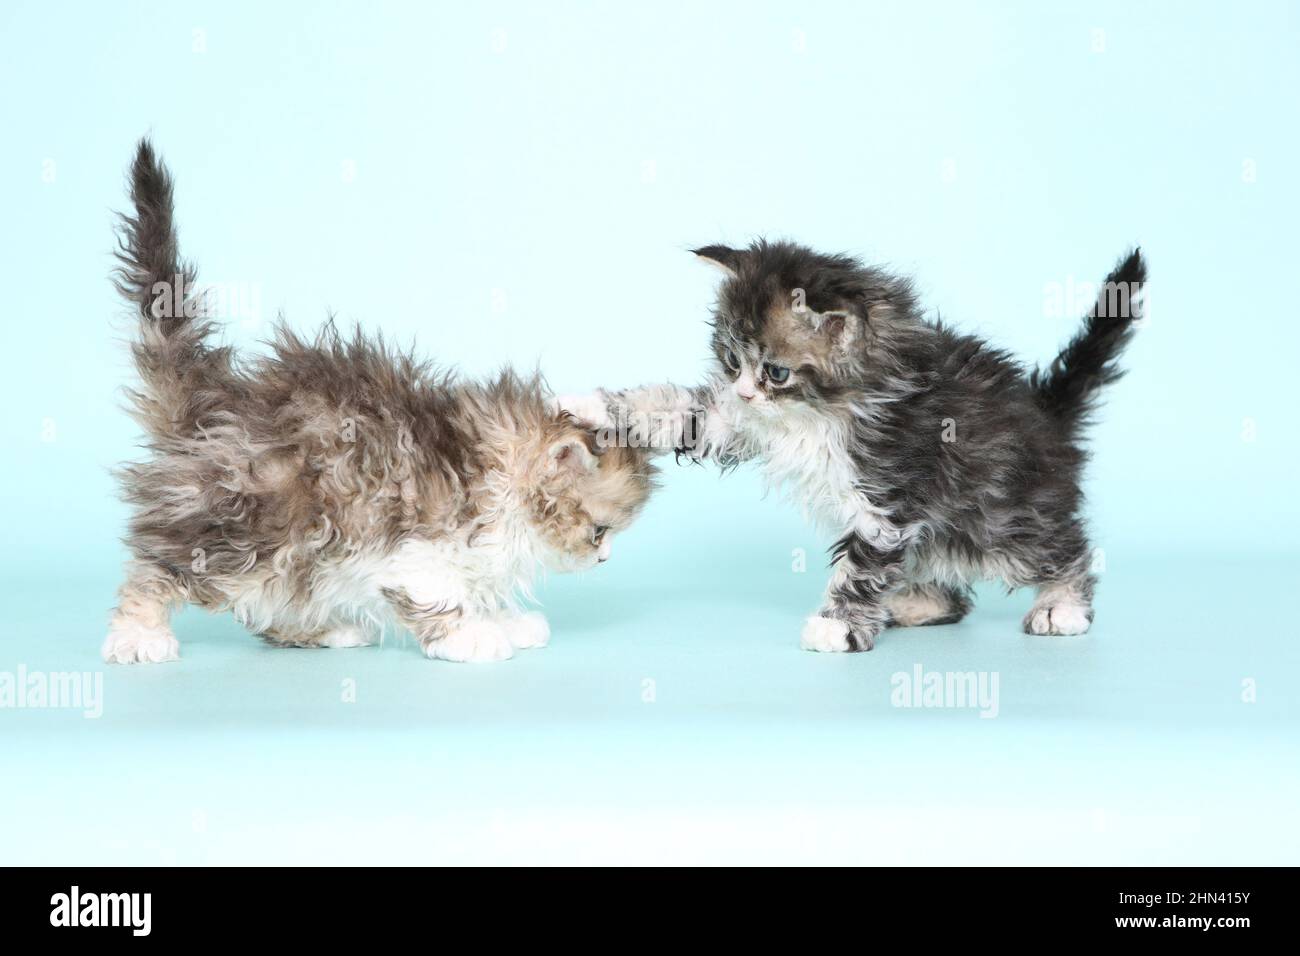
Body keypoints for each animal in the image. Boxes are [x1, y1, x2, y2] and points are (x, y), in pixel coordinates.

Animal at [574, 243, 1144, 655]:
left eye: (775, 371)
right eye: (732, 361)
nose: (744, 391)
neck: (824, 410)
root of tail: (1045, 413)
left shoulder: (890, 495)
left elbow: (863, 566)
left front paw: (838, 625)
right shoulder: (736, 420)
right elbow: (678, 411)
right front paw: (591, 407)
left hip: (997, 519)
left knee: (1062, 548)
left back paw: (1062, 607)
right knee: (946, 580)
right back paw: (912, 605)